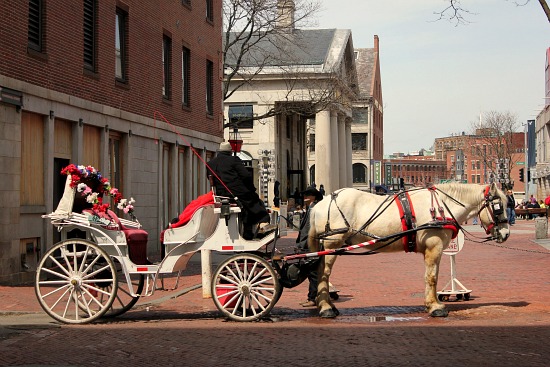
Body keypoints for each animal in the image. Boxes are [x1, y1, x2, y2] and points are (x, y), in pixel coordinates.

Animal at [308, 184, 512, 320]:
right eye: (499, 207)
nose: (506, 233)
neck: (441, 206)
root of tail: (319, 204)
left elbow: (431, 276)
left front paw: (431, 303)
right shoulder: (434, 247)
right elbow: (432, 277)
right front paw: (435, 307)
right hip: (332, 245)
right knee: (323, 274)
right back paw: (326, 308)